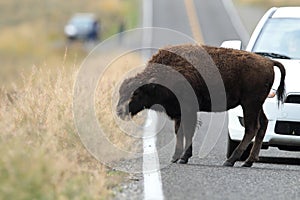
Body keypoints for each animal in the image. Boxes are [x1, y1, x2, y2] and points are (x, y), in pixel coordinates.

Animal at [116, 44, 284, 167]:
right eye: (121, 91)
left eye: (136, 93)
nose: (119, 111)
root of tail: (268, 62)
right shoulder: (179, 112)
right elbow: (179, 132)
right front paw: (175, 157)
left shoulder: (188, 110)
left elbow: (188, 131)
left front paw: (183, 158)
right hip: (257, 105)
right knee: (263, 124)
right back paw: (248, 161)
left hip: (250, 104)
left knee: (251, 128)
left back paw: (230, 161)